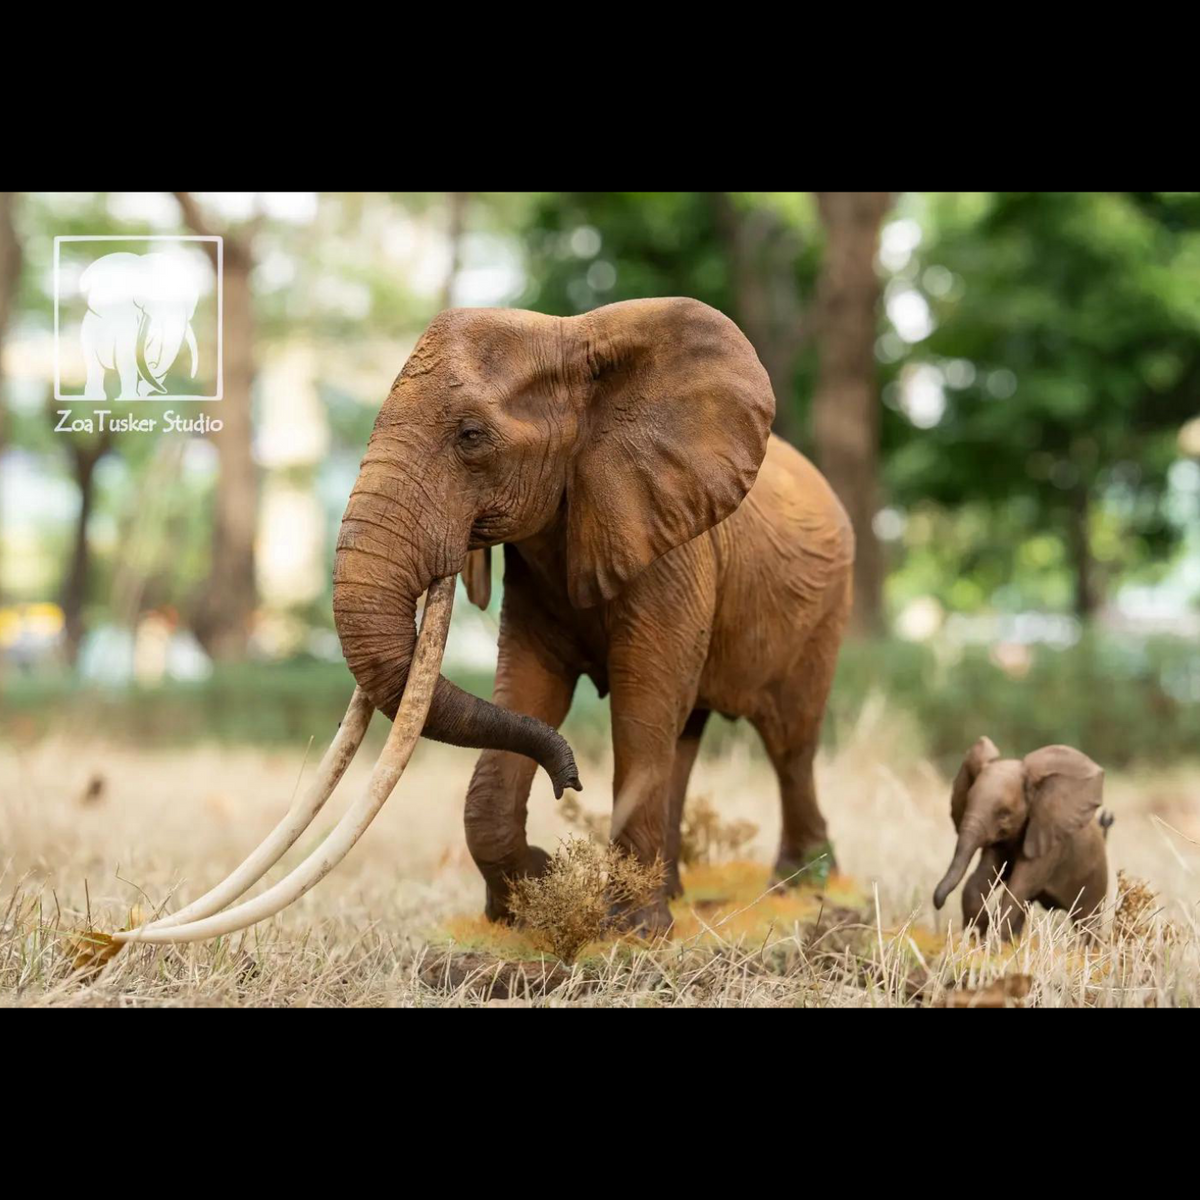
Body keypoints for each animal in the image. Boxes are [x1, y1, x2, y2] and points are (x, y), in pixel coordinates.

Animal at [113, 296, 853, 948]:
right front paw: (527, 906)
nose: (568, 783)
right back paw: (685, 892)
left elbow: (644, 702)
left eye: (471, 438)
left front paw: (629, 934)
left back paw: (805, 890)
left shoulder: (673, 545)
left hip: (823, 611)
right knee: (692, 734)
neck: (573, 335)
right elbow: (529, 691)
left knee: (788, 741)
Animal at [933, 736, 1113, 941]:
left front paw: (992, 940)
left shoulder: (1051, 842)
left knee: (1087, 923)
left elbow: (1019, 885)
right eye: (967, 802)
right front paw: (979, 934)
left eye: (1004, 814)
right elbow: (982, 878)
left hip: (1096, 879)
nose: (938, 903)